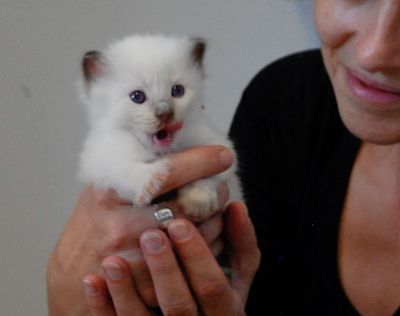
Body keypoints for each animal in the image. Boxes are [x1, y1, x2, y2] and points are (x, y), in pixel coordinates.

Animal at [77, 34, 241, 217]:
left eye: (177, 91)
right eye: (137, 96)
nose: (165, 113)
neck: (162, 152)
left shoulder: (222, 152)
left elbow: (206, 177)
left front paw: (198, 200)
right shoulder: (103, 163)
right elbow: (126, 171)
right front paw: (152, 180)